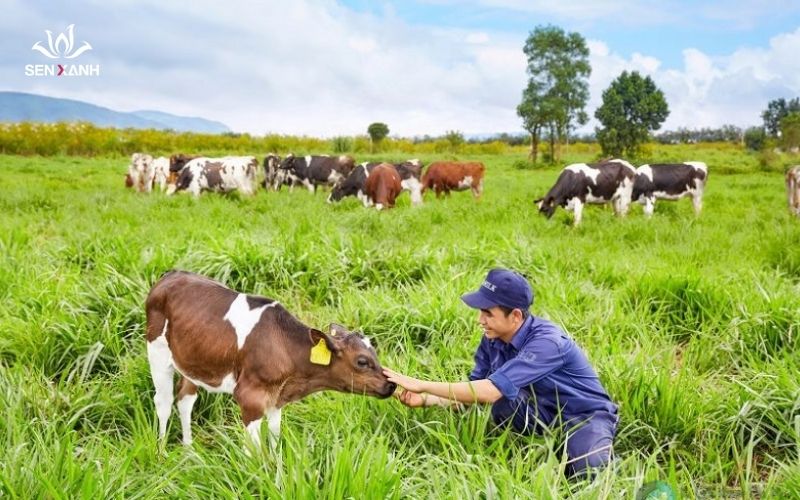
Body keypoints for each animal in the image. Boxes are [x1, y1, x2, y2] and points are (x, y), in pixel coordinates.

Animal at [145, 272, 396, 448]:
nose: (391, 384)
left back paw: (189, 450)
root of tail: (171, 274)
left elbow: (275, 440)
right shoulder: (250, 398)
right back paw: (162, 452)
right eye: (362, 361)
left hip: (193, 358)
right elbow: (255, 452)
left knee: (185, 399)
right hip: (157, 352)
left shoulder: (276, 399)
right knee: (163, 402)